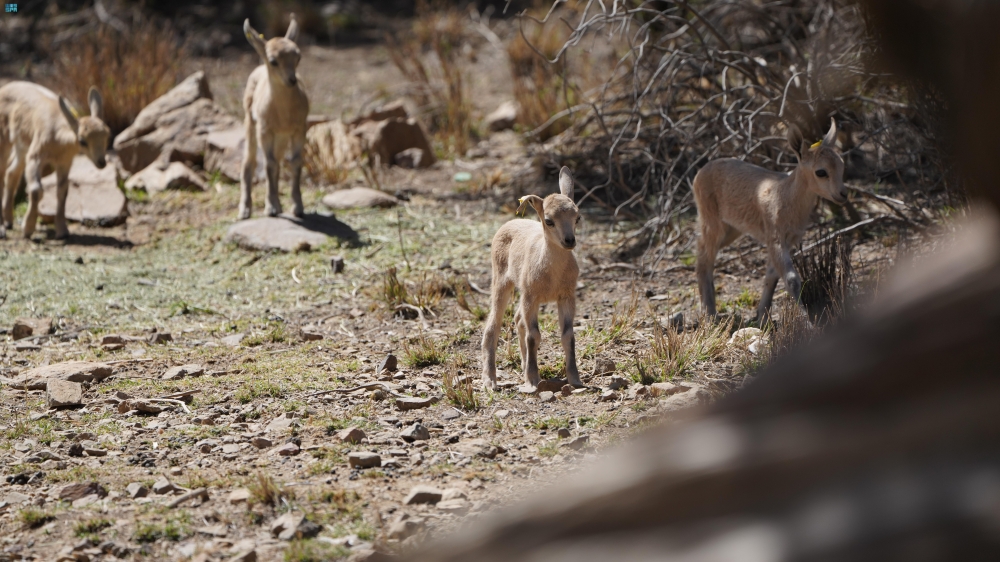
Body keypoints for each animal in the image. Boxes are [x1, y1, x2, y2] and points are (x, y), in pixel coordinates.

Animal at [0, 82, 109, 238]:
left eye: (107, 135)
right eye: (82, 141)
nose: (101, 162)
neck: (58, 142)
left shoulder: (65, 162)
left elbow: (63, 191)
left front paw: (62, 231)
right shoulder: (36, 155)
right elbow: (36, 190)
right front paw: (27, 229)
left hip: (22, 146)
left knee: (11, 173)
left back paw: (9, 222)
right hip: (4, 138)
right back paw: (2, 229)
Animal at [240, 14, 306, 217]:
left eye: (298, 56)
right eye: (274, 60)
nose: (292, 80)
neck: (284, 114)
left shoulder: (299, 129)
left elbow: (295, 162)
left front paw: (297, 207)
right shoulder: (265, 130)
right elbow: (268, 164)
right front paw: (270, 208)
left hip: (281, 138)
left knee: (277, 162)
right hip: (250, 124)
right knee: (250, 163)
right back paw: (245, 210)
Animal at [482, 166, 584, 392]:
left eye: (578, 217)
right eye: (549, 220)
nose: (569, 241)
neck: (553, 275)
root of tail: (511, 222)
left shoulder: (566, 296)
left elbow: (568, 335)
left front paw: (575, 379)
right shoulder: (532, 296)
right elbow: (534, 335)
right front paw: (532, 380)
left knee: (518, 319)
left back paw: (522, 363)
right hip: (502, 282)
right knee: (493, 326)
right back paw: (490, 379)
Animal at [692, 118, 848, 320]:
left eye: (842, 165)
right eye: (821, 172)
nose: (843, 194)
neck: (784, 196)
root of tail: (698, 174)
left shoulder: (789, 239)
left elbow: (771, 276)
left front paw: (762, 316)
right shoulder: (775, 237)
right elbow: (791, 279)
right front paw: (807, 321)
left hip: (731, 229)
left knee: (702, 250)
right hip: (712, 220)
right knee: (704, 257)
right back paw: (710, 313)